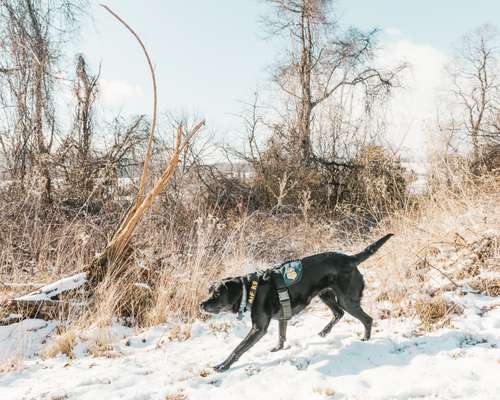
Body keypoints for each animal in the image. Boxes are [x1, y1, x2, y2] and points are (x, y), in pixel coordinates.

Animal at [201, 234, 392, 372]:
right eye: (209, 292)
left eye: (217, 294)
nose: (201, 305)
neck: (251, 290)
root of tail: (351, 259)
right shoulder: (282, 317)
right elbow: (281, 335)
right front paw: (278, 349)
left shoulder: (258, 328)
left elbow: (238, 348)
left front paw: (222, 365)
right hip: (326, 295)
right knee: (339, 313)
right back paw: (324, 332)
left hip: (347, 300)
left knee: (366, 319)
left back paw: (365, 339)